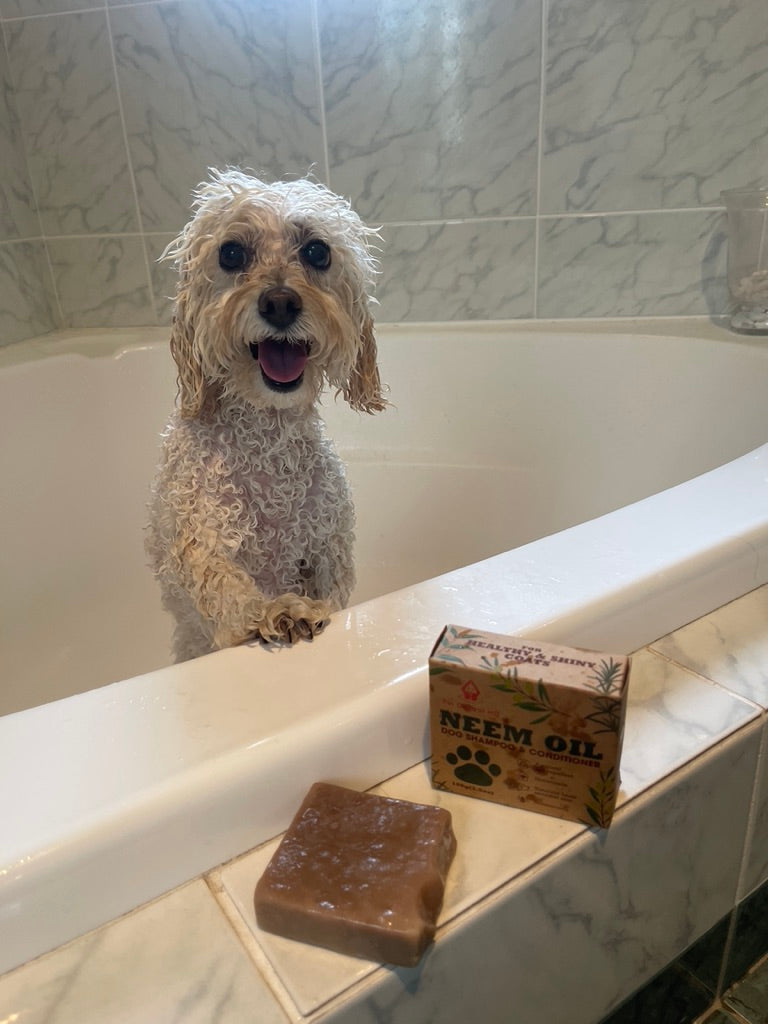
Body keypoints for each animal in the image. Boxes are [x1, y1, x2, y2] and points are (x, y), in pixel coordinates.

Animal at [145, 168, 385, 663]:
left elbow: (335, 587)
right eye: (231, 253)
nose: (279, 302)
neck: (266, 442)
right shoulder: (200, 534)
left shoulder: (328, 541)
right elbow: (221, 583)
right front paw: (280, 612)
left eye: (317, 251)